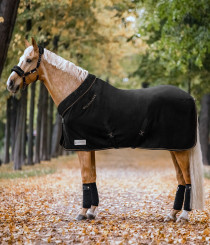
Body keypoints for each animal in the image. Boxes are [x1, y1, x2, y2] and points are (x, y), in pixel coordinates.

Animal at [6, 37, 203, 222]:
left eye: (29, 59)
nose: (10, 83)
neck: (77, 97)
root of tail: (190, 98)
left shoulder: (82, 146)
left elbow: (86, 178)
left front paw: (82, 212)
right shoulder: (89, 146)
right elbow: (92, 177)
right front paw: (92, 212)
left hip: (180, 150)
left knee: (188, 180)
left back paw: (184, 215)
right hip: (174, 148)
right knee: (181, 180)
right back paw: (172, 214)